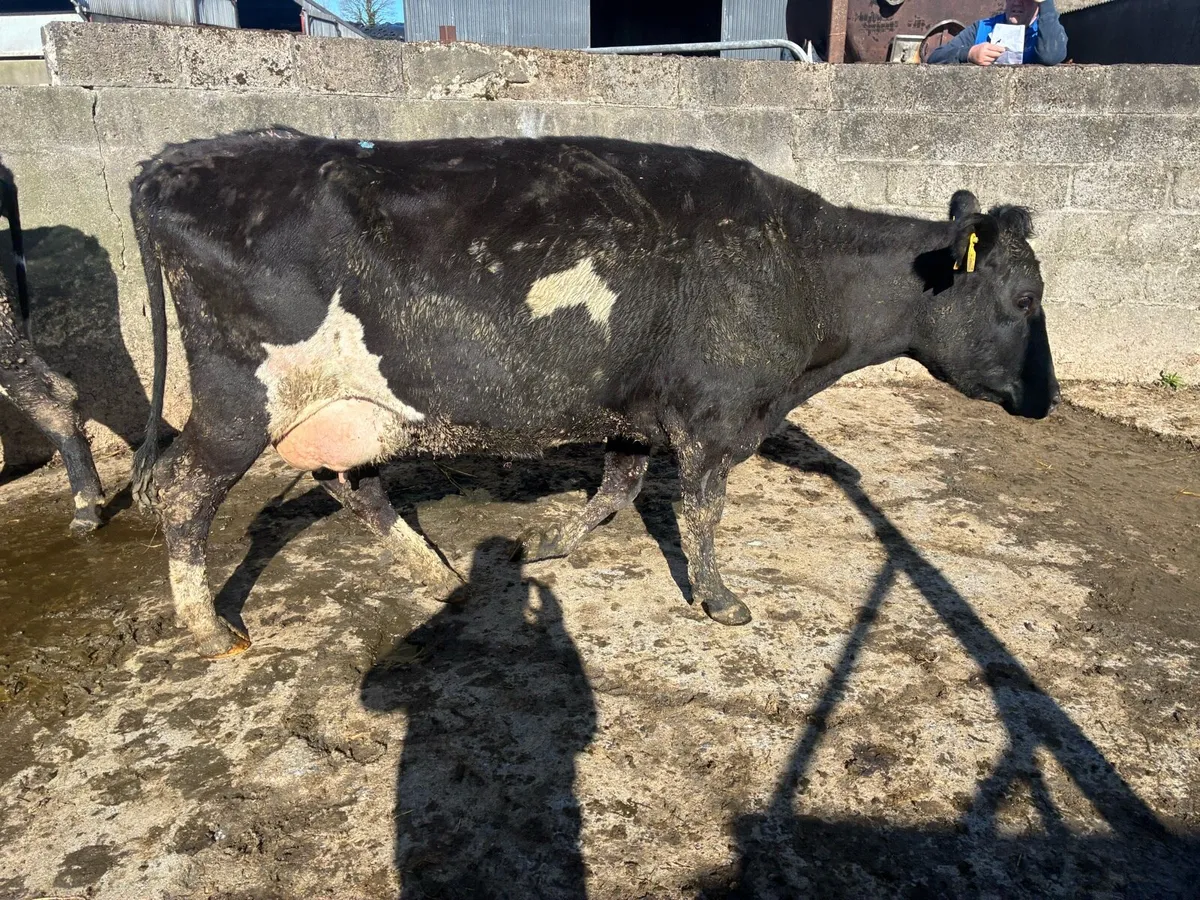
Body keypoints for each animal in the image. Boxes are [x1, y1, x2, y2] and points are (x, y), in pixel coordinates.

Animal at [129, 128, 1058, 659]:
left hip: (344, 405)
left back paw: (430, 566)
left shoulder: (637, 413)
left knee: (349, 480)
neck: (798, 267)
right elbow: (701, 512)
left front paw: (544, 545)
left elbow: (616, 488)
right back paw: (208, 628)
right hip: (240, 401)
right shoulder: (715, 417)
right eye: (1025, 299)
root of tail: (180, 159)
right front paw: (720, 601)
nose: (1046, 399)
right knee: (182, 491)